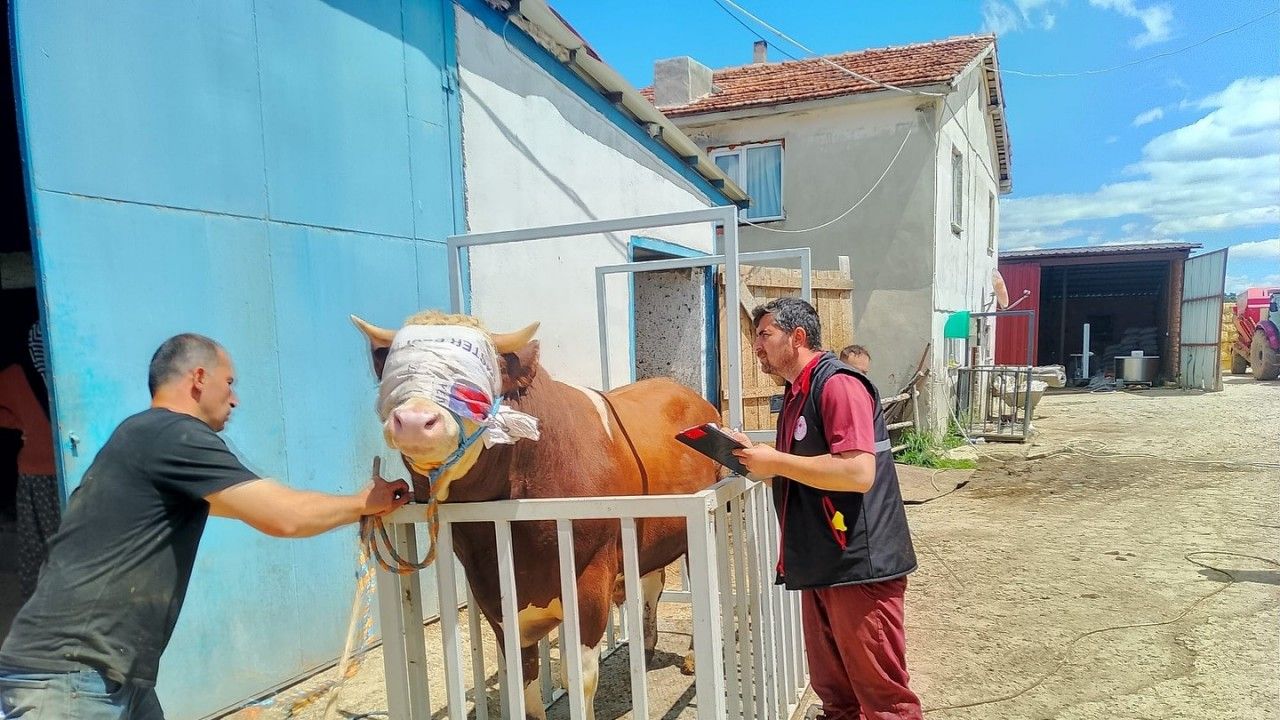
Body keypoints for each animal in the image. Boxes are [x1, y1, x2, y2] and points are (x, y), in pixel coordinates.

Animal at [351, 311, 720, 720]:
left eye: (476, 377)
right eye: (396, 372)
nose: (416, 420)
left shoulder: (591, 577)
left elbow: (576, 677)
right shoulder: (492, 592)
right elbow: (523, 678)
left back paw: (691, 657)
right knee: (654, 581)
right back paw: (646, 646)